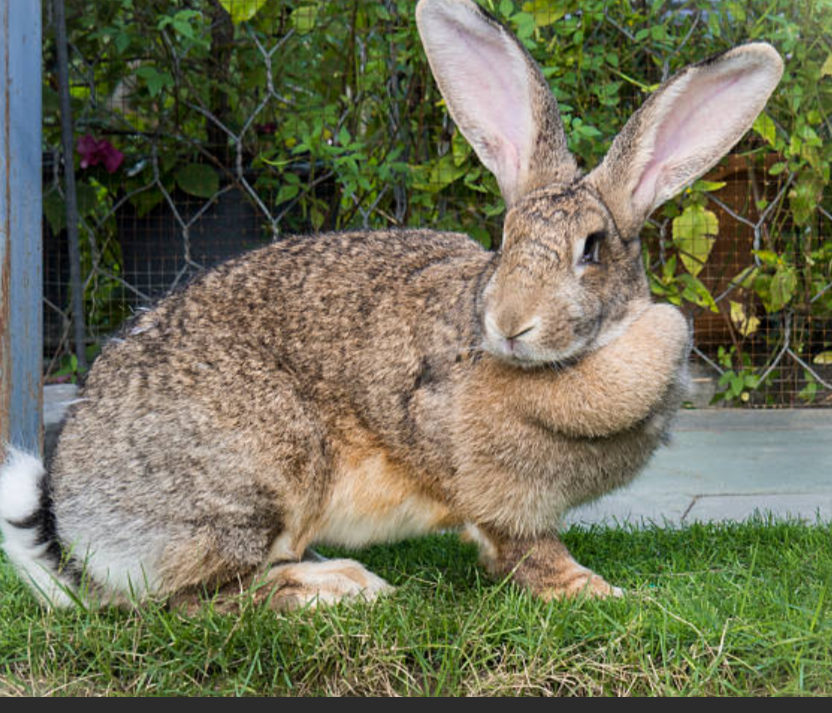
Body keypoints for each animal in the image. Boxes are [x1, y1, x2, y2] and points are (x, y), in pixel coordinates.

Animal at [0, 0, 783, 610]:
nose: (510, 324)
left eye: (592, 249)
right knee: (197, 600)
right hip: (256, 474)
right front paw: (600, 592)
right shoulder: (498, 496)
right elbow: (529, 552)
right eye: (505, 239)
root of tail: (76, 525)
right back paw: (337, 589)